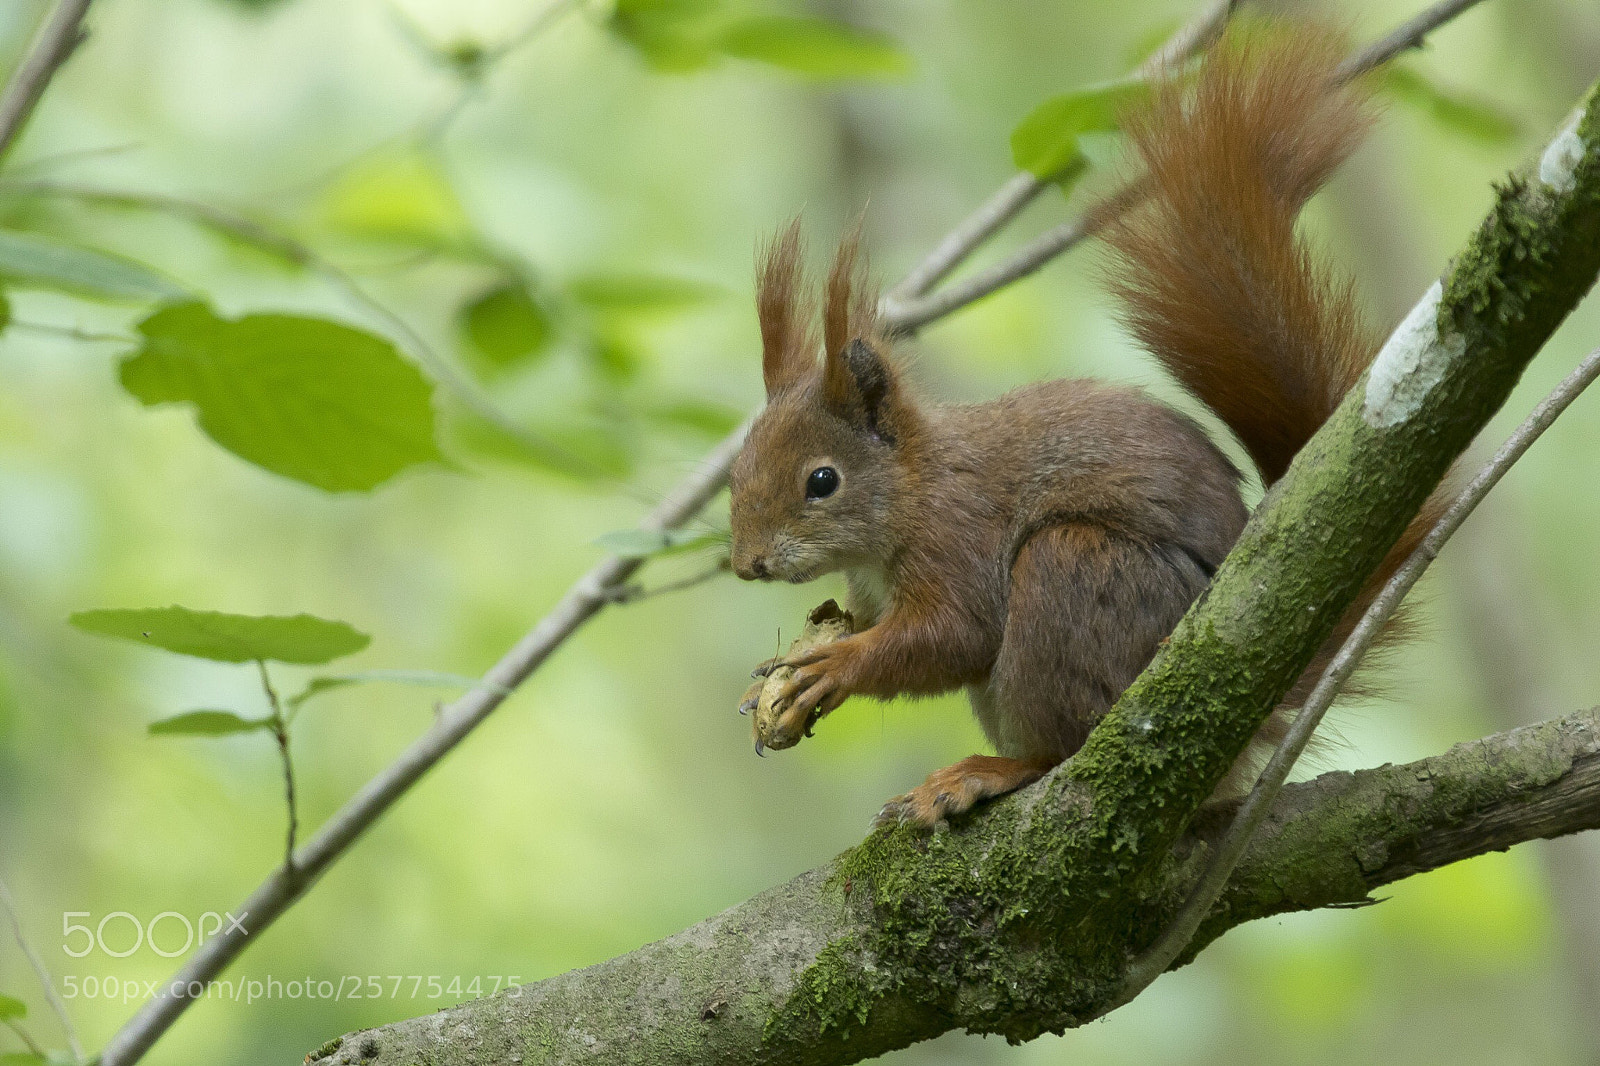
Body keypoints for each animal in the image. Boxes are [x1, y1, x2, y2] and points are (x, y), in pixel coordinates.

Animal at [727, 25, 1444, 828]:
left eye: (822, 480)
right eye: (737, 469)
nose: (747, 562)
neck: (911, 487)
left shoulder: (958, 537)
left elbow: (955, 635)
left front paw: (836, 665)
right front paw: (780, 677)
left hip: (1078, 577)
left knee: (1060, 748)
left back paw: (990, 771)